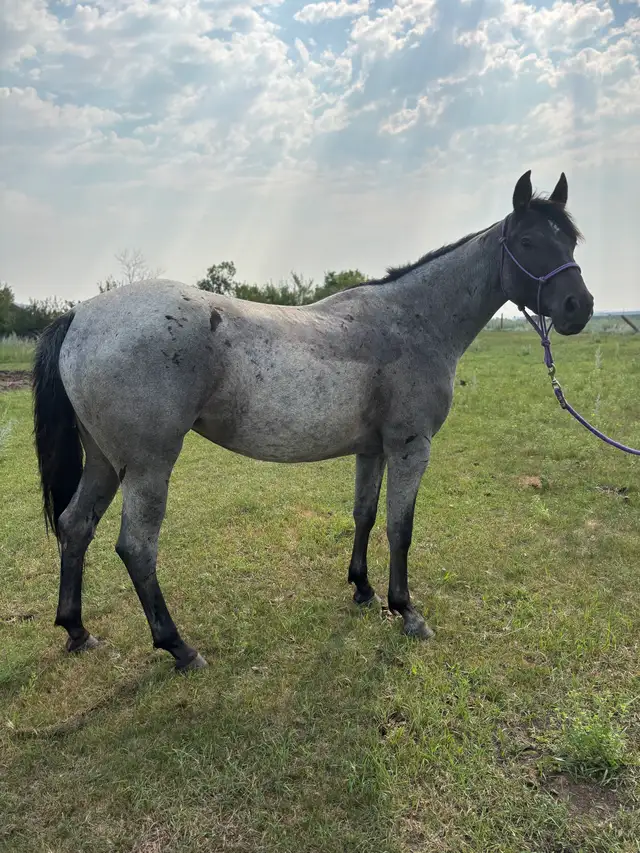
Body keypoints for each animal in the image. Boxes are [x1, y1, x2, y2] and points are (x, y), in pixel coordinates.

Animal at [32, 170, 594, 671]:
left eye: (569, 239)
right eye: (527, 240)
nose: (579, 306)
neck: (412, 320)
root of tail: (81, 316)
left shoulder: (372, 449)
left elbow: (365, 515)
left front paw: (363, 589)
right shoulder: (410, 447)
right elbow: (400, 527)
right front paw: (407, 611)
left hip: (105, 461)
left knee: (76, 526)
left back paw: (78, 630)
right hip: (148, 466)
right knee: (137, 549)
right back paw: (179, 648)